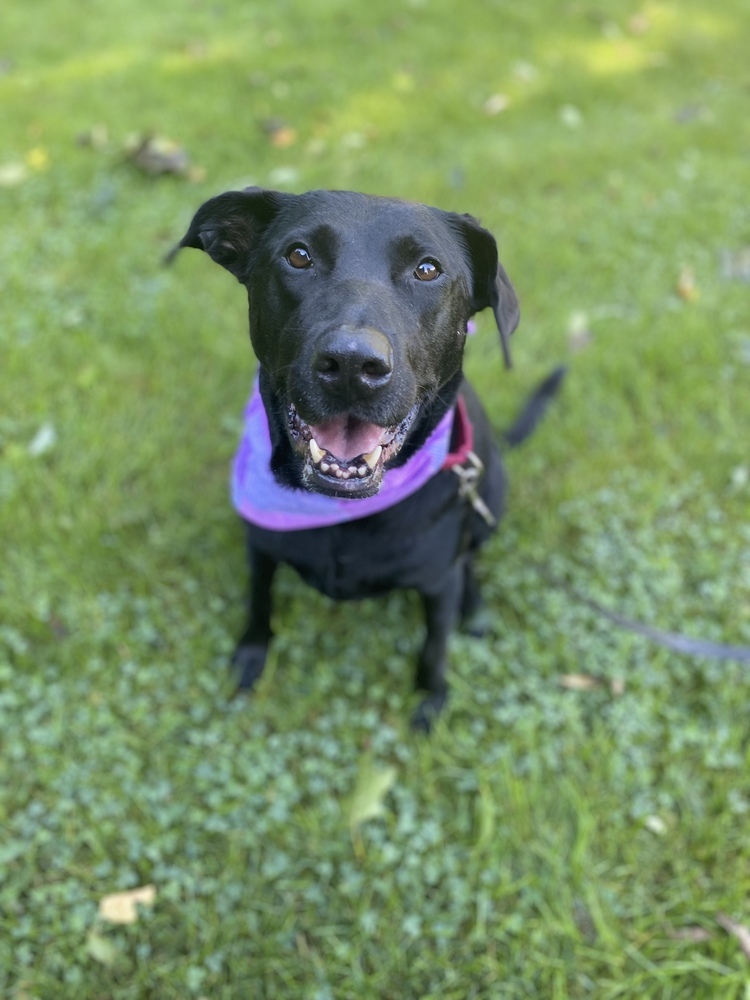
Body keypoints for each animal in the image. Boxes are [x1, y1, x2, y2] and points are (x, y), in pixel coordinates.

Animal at [175, 188, 564, 728]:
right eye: (299, 256)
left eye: (428, 269)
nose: (352, 365)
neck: (341, 509)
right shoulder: (260, 547)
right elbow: (258, 602)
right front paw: (251, 656)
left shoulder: (437, 583)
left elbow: (435, 644)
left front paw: (431, 697)